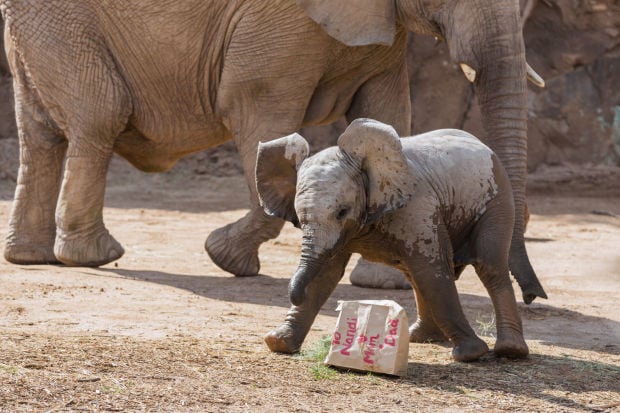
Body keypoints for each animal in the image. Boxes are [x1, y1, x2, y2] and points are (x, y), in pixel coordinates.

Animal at [0, 0, 544, 302]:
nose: (533, 297)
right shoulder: (274, 29)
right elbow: (260, 115)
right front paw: (225, 258)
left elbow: (387, 113)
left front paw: (385, 282)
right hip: (62, 24)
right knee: (100, 115)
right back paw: (92, 257)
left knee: (41, 130)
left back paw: (30, 257)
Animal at [256, 118, 528, 360]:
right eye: (300, 220)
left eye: (342, 212)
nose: (293, 295)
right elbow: (324, 275)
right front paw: (278, 343)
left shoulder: (417, 206)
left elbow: (433, 271)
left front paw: (472, 354)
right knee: (415, 274)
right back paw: (420, 337)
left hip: (497, 199)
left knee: (488, 266)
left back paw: (510, 351)